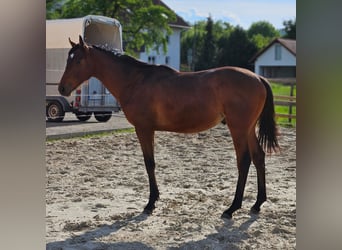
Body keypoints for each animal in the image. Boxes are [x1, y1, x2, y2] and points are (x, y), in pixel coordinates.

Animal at [58, 36, 278, 220]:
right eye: (67, 59)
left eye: (78, 61)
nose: (62, 88)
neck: (135, 80)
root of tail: (258, 78)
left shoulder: (144, 129)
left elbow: (149, 163)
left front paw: (150, 203)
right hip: (248, 129)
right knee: (258, 157)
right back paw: (257, 204)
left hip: (238, 128)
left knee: (244, 161)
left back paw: (232, 208)